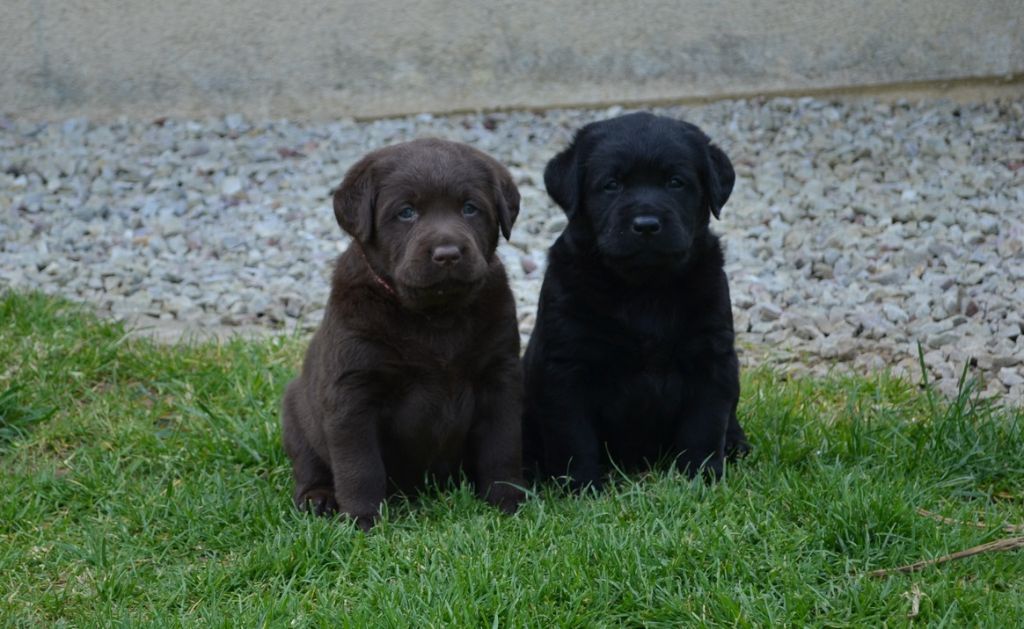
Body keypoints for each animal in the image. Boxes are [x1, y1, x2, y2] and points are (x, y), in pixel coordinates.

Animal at [280, 139, 524, 532]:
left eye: (470, 208)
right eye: (406, 212)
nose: (447, 254)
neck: (435, 317)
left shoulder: (500, 377)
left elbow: (502, 446)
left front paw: (508, 502)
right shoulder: (353, 393)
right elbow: (359, 466)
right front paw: (363, 519)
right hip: (295, 414)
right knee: (309, 463)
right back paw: (318, 498)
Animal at [524, 111, 749, 489]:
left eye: (675, 182)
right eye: (611, 184)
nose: (646, 224)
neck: (644, 289)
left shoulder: (711, 357)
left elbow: (704, 427)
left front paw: (701, 479)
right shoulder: (566, 366)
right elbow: (574, 437)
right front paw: (581, 487)